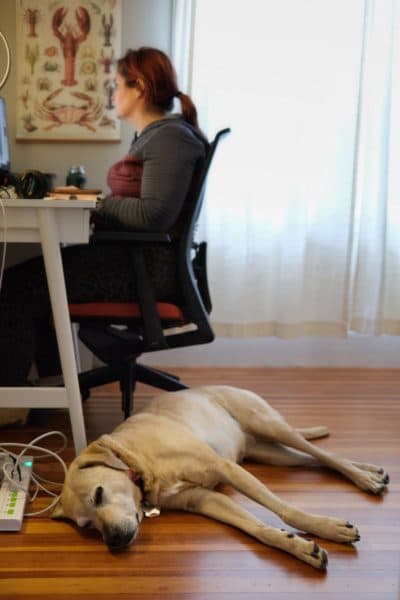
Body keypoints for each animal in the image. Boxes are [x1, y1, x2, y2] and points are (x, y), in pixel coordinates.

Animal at [51, 386, 390, 568]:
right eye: (87, 526)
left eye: (98, 493)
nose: (115, 542)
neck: (140, 462)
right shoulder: (204, 500)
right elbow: (258, 529)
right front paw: (299, 547)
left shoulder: (225, 468)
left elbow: (286, 510)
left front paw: (325, 528)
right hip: (271, 453)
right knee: (317, 460)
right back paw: (371, 472)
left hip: (270, 426)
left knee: (324, 455)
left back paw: (365, 479)